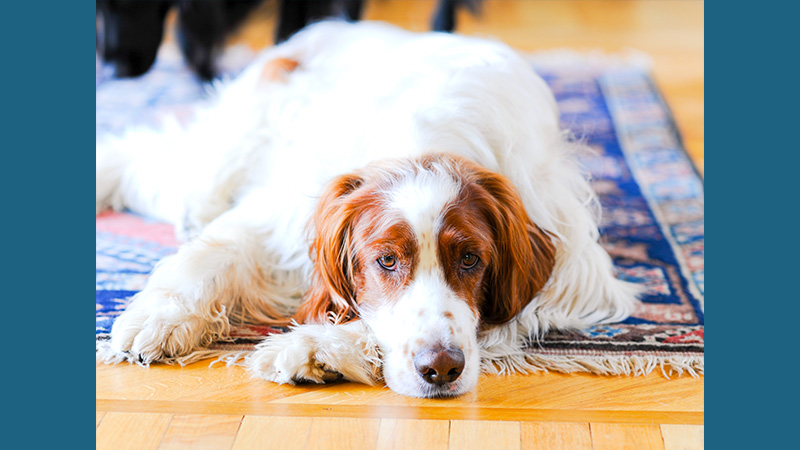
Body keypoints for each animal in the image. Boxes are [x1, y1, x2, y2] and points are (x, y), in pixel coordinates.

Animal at [97, 22, 636, 400]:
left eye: (470, 260)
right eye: (386, 261)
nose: (442, 368)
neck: (425, 140)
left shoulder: (572, 274)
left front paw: (316, 348)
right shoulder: (282, 213)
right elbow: (209, 254)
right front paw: (158, 317)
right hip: (218, 162)